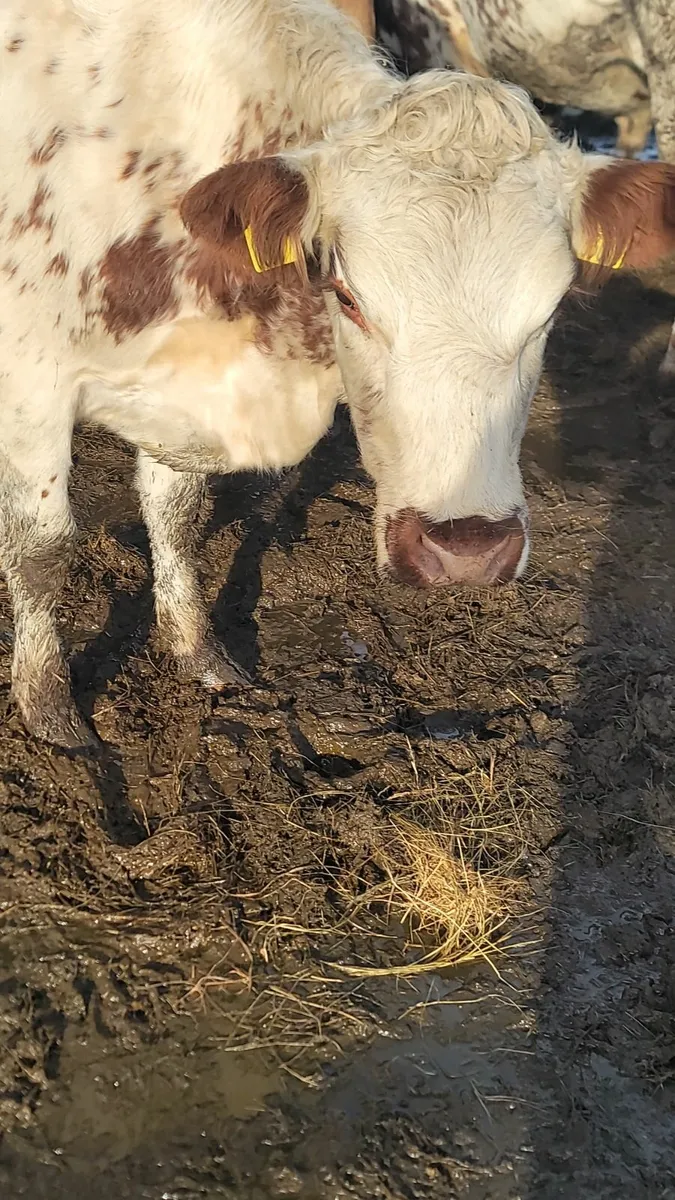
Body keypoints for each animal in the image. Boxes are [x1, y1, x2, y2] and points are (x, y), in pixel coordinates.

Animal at [2, 0, 675, 750]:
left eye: (552, 308)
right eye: (347, 295)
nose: (466, 551)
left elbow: (176, 516)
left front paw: (198, 654)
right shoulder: (31, 384)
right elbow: (43, 550)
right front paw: (49, 711)